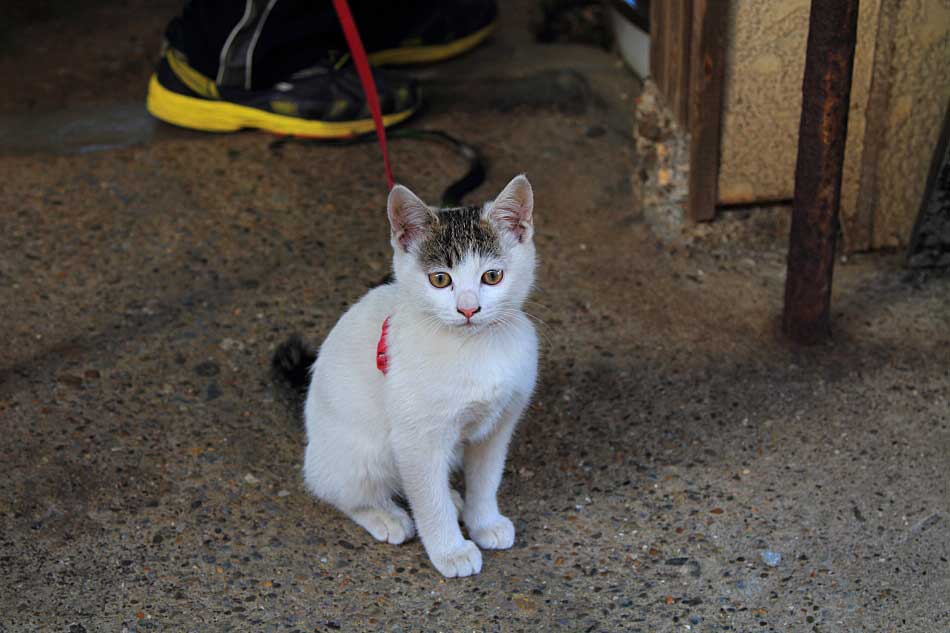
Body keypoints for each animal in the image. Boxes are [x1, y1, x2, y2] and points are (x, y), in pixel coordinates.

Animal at [278, 175, 544, 576]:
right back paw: (384, 515)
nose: (469, 309)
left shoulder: (498, 426)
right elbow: (427, 499)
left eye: (492, 276)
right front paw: (450, 550)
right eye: (440, 280)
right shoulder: (417, 438)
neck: (474, 348)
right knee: (335, 486)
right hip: (364, 451)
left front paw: (484, 522)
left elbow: (486, 478)